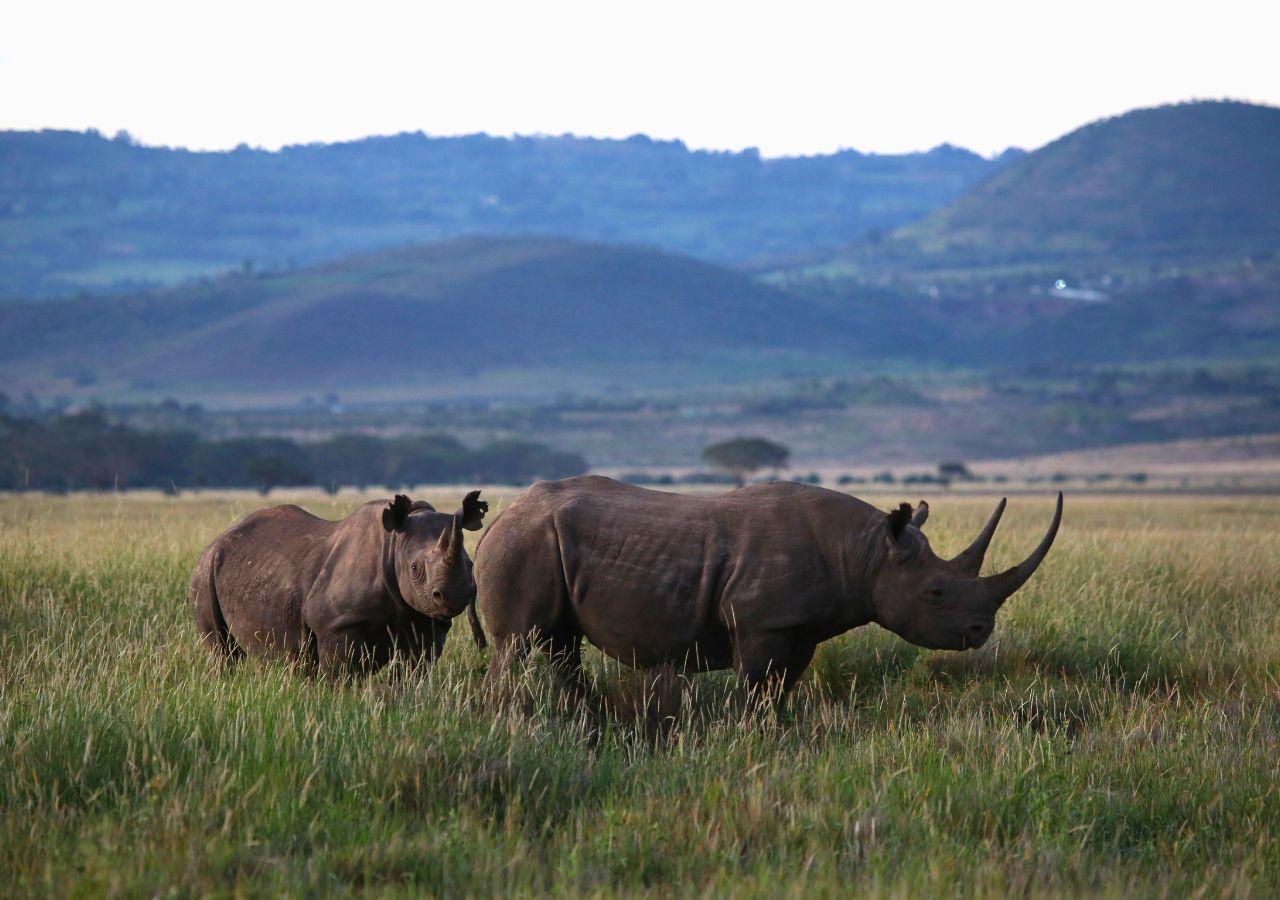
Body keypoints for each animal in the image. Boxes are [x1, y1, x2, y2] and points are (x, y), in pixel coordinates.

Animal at [190, 491, 487, 673]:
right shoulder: (336, 623)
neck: (394, 545)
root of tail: (217, 540)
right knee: (222, 651)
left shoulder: (426, 620)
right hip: (204, 571)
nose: (453, 596)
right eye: (414, 568)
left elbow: (415, 670)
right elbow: (341, 673)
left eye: (471, 566)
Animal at [473, 476, 1060, 695]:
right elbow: (756, 687)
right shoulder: (762, 623)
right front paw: (752, 741)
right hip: (525, 543)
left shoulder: (800, 627)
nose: (981, 631)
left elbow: (780, 689)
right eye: (934, 594)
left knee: (560, 643)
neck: (867, 552)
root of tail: (501, 517)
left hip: (540, 541)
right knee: (518, 642)